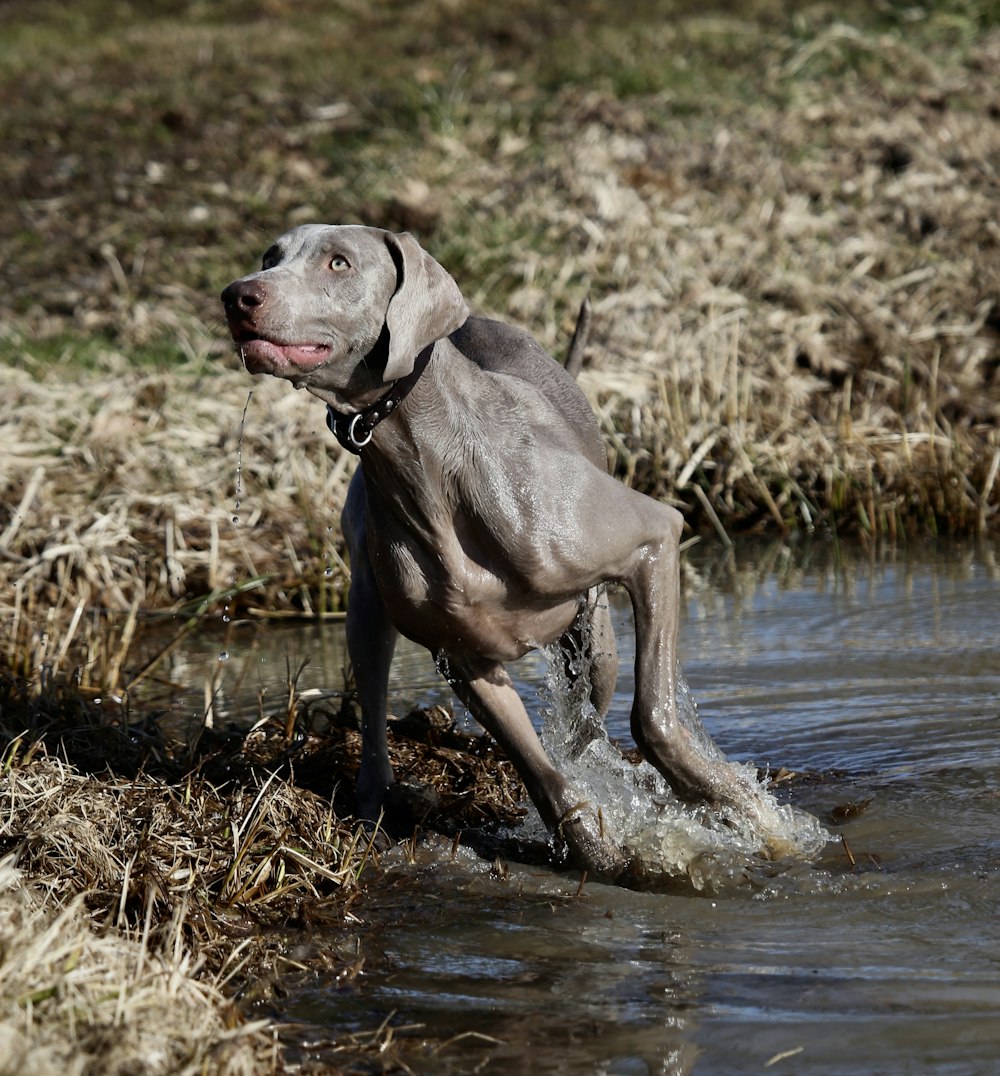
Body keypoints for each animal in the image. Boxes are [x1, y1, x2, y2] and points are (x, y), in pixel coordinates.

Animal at [220, 227, 749, 882]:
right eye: (271, 257)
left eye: (338, 262)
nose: (237, 295)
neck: (425, 462)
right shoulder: (462, 654)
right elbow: (541, 772)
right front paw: (600, 853)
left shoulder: (658, 536)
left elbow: (652, 715)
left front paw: (737, 804)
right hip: (366, 602)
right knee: (372, 698)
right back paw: (373, 801)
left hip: (594, 639)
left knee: (593, 714)